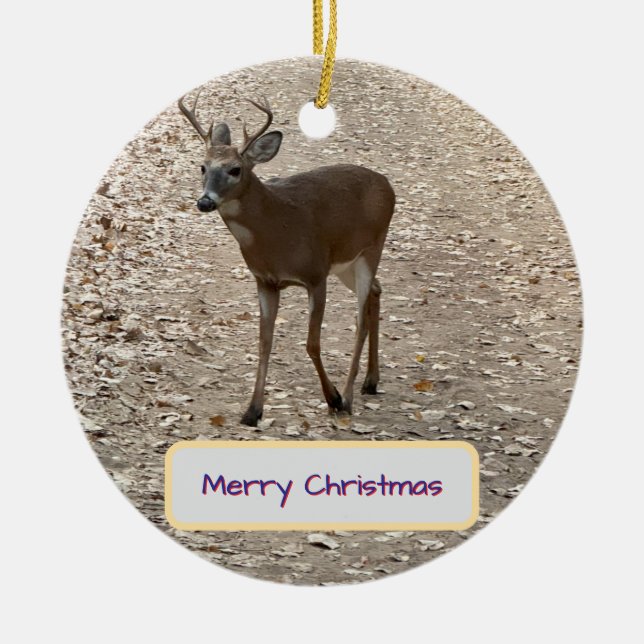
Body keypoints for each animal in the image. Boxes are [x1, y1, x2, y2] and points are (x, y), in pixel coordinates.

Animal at [178, 92, 395, 427]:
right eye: (202, 166)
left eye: (235, 169)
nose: (205, 202)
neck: (278, 232)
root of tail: (388, 185)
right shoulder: (265, 280)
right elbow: (264, 342)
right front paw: (252, 411)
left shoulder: (316, 274)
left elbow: (312, 343)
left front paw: (332, 398)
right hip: (347, 261)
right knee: (376, 291)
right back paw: (371, 381)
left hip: (372, 247)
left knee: (360, 322)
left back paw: (348, 398)